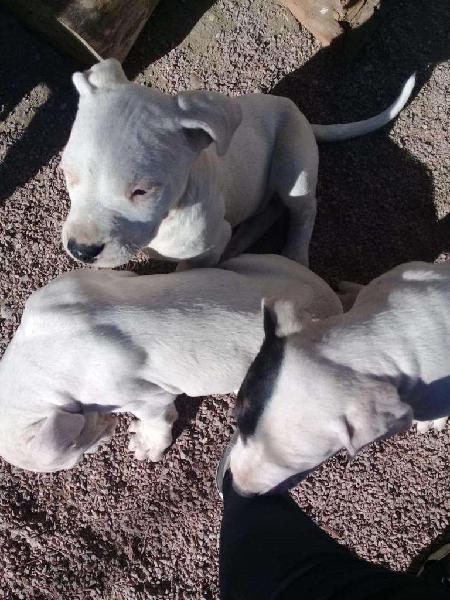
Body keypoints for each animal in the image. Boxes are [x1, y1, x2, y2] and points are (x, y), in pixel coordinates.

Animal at [0, 254, 342, 474]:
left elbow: (158, 420)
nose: (99, 444)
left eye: (73, 452)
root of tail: (333, 310)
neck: (36, 360)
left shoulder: (147, 397)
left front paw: (148, 443)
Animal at [60, 59, 414, 270]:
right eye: (68, 175)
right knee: (269, 210)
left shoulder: (205, 248)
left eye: (142, 192)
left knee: (303, 210)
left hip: (293, 166)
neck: (171, 214)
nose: (81, 250)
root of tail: (302, 115)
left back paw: (294, 255)